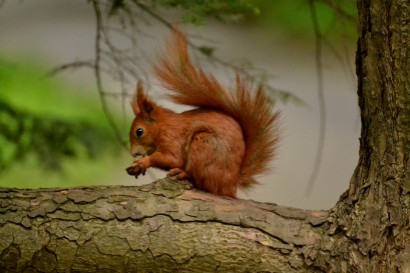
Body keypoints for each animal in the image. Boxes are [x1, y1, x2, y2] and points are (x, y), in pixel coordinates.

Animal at [125, 29, 278, 197]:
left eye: (139, 131)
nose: (133, 153)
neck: (163, 126)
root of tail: (231, 184)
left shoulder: (172, 139)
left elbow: (171, 158)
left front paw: (144, 161)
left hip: (204, 144)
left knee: (203, 181)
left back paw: (183, 173)